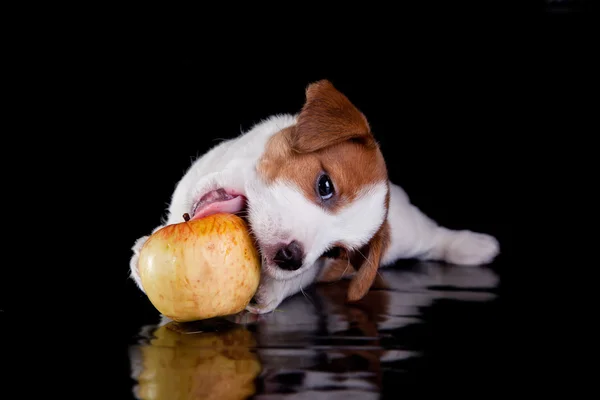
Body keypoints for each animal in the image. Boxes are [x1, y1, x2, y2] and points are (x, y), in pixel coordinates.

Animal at [129, 79, 500, 314]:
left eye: (335, 252)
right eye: (325, 185)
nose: (291, 257)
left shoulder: (312, 271)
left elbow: (301, 279)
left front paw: (272, 289)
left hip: (412, 234)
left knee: (434, 237)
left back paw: (475, 247)